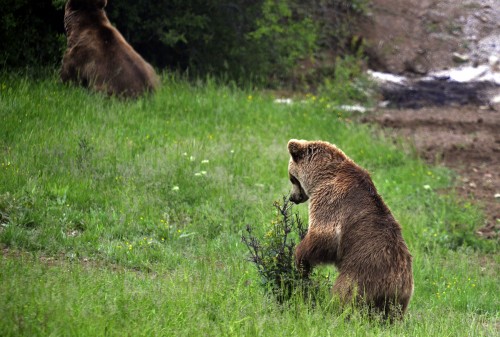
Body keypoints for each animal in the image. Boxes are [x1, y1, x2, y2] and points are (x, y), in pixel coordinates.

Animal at [288, 138, 412, 318]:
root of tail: (398, 286)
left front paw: (299, 258)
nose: (292, 198)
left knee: (344, 295)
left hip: (360, 275)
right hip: (396, 301)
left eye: (291, 177)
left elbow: (323, 236)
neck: (320, 176)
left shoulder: (331, 200)